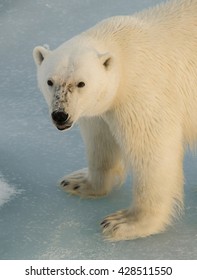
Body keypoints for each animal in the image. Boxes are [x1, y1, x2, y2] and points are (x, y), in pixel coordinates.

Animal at [33, 0, 197, 241]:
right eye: (50, 81)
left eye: (81, 83)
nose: (60, 115)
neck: (123, 51)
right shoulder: (101, 109)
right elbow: (101, 141)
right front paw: (79, 182)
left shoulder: (143, 92)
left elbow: (153, 152)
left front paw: (124, 223)